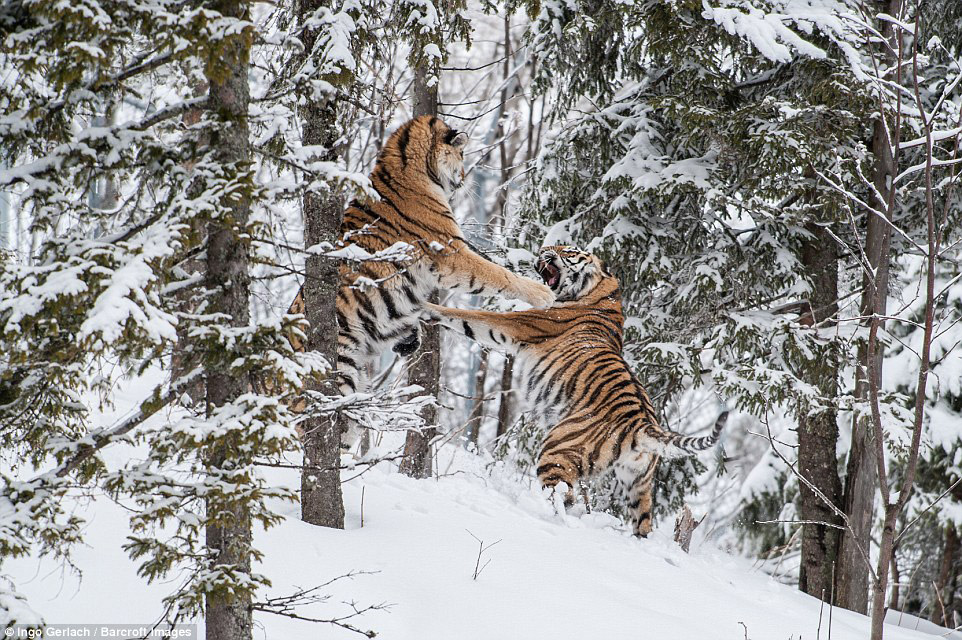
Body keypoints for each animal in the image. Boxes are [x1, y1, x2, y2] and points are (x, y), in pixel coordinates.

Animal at [284, 116, 552, 440]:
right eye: (462, 154)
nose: (464, 177)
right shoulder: (451, 251)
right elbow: (496, 272)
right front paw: (541, 293)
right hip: (340, 370)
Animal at [424, 245, 724, 536]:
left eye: (567, 250)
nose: (542, 250)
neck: (603, 293)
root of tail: (643, 424)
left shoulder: (520, 323)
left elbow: (471, 317)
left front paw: (426, 306)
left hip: (556, 450)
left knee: (562, 496)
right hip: (638, 483)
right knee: (641, 522)